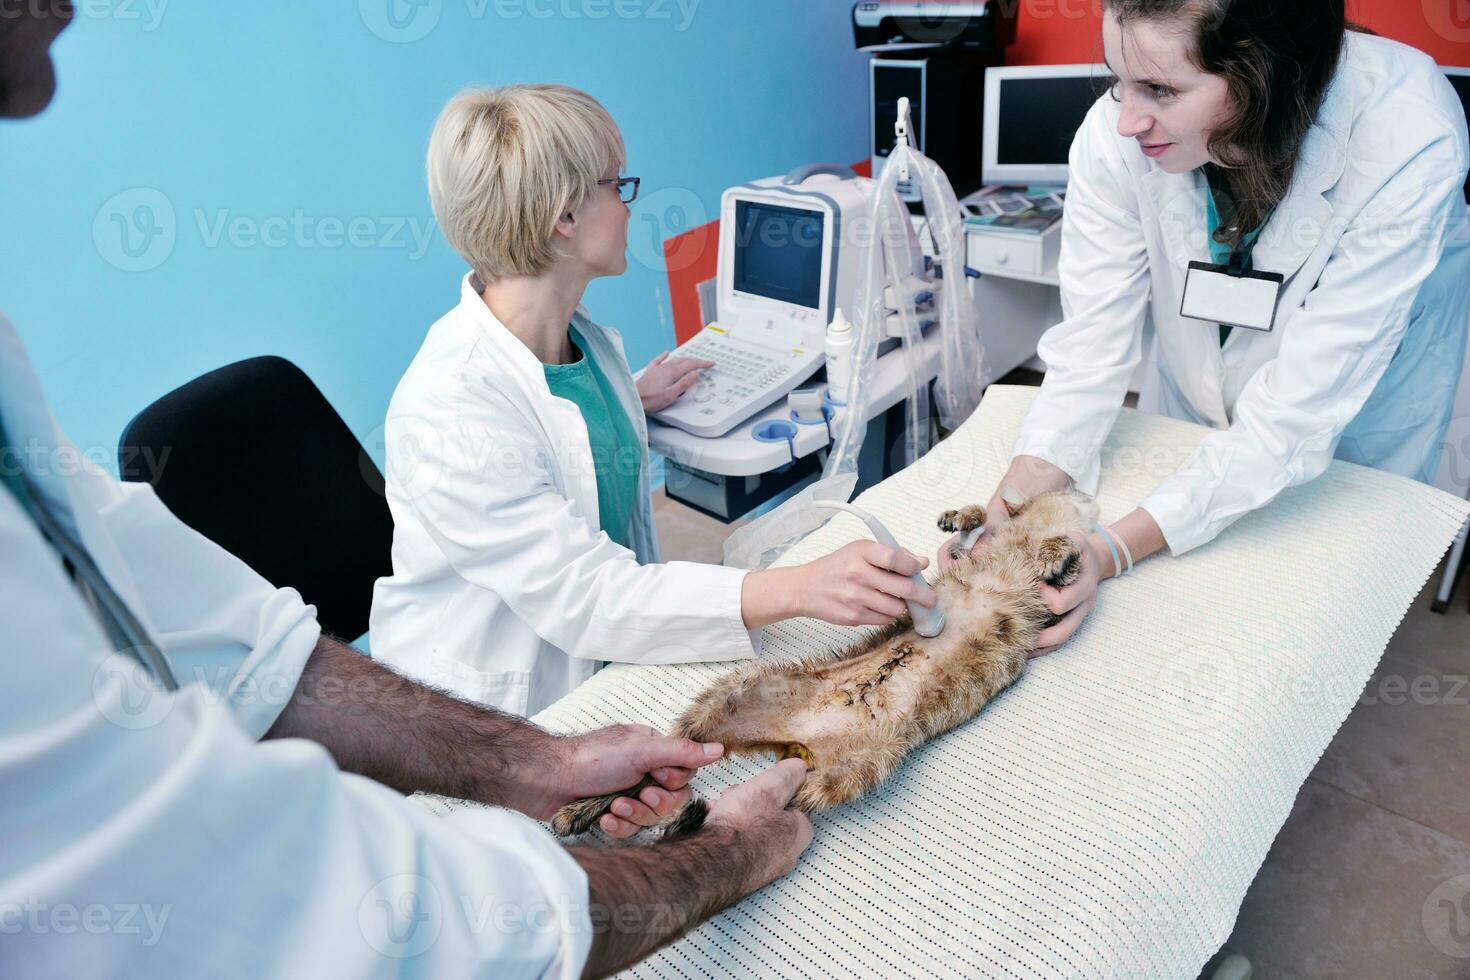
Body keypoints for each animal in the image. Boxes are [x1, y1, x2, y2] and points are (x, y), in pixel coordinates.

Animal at [552, 487, 1105, 840]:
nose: (1082, 486)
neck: (1027, 536)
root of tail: (798, 744)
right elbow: (981, 531)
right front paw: (966, 515)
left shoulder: (1039, 607)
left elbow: (1067, 560)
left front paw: (1059, 548)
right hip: (735, 692)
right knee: (675, 751)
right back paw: (592, 802)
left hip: (858, 767)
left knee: (774, 795)